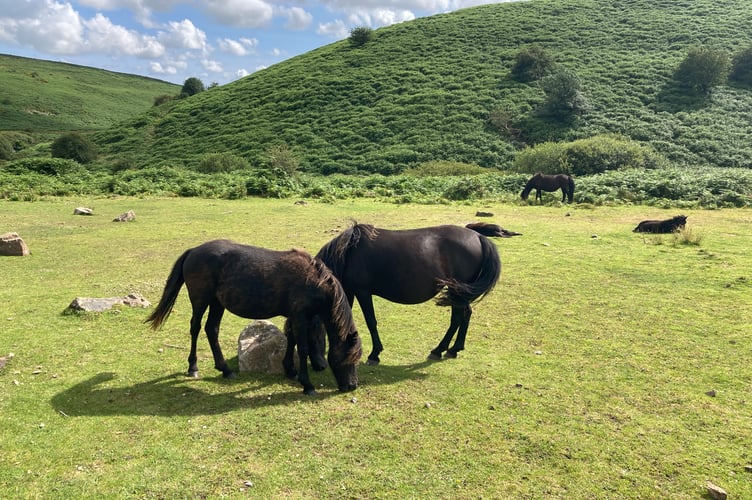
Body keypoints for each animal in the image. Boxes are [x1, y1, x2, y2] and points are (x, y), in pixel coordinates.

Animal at [145, 240, 362, 396]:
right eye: (348, 357)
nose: (352, 386)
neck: (313, 281)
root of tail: (193, 251)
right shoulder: (300, 316)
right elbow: (302, 347)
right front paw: (307, 385)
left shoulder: (295, 316)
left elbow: (291, 340)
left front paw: (290, 370)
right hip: (200, 300)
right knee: (195, 328)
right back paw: (193, 367)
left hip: (217, 303)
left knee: (211, 330)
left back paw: (225, 369)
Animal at [314, 225, 502, 366]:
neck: (347, 253)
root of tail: (479, 237)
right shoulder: (349, 291)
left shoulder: (362, 292)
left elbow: (370, 322)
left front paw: (374, 354)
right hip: (459, 292)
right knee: (464, 315)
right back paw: (452, 349)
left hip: (457, 292)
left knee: (459, 317)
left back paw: (440, 350)